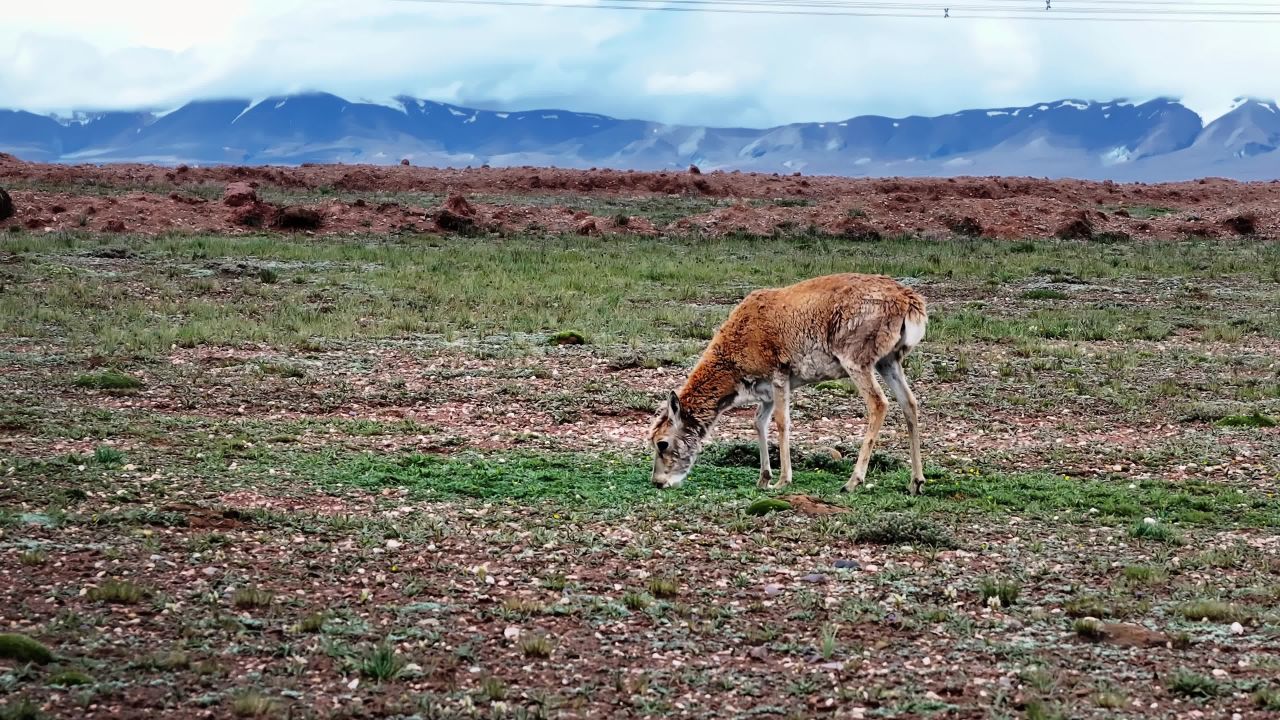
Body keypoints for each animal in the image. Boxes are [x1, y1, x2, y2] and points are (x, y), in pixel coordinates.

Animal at [645, 271, 926, 489]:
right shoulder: (765, 392)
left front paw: (783, 479)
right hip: (888, 361)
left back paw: (853, 481)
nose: (658, 481)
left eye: (662, 443)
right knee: (909, 403)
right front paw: (763, 478)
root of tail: (911, 303)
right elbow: (758, 422)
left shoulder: (779, 374)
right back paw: (916, 481)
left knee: (879, 403)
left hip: (857, 359)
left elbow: (782, 421)